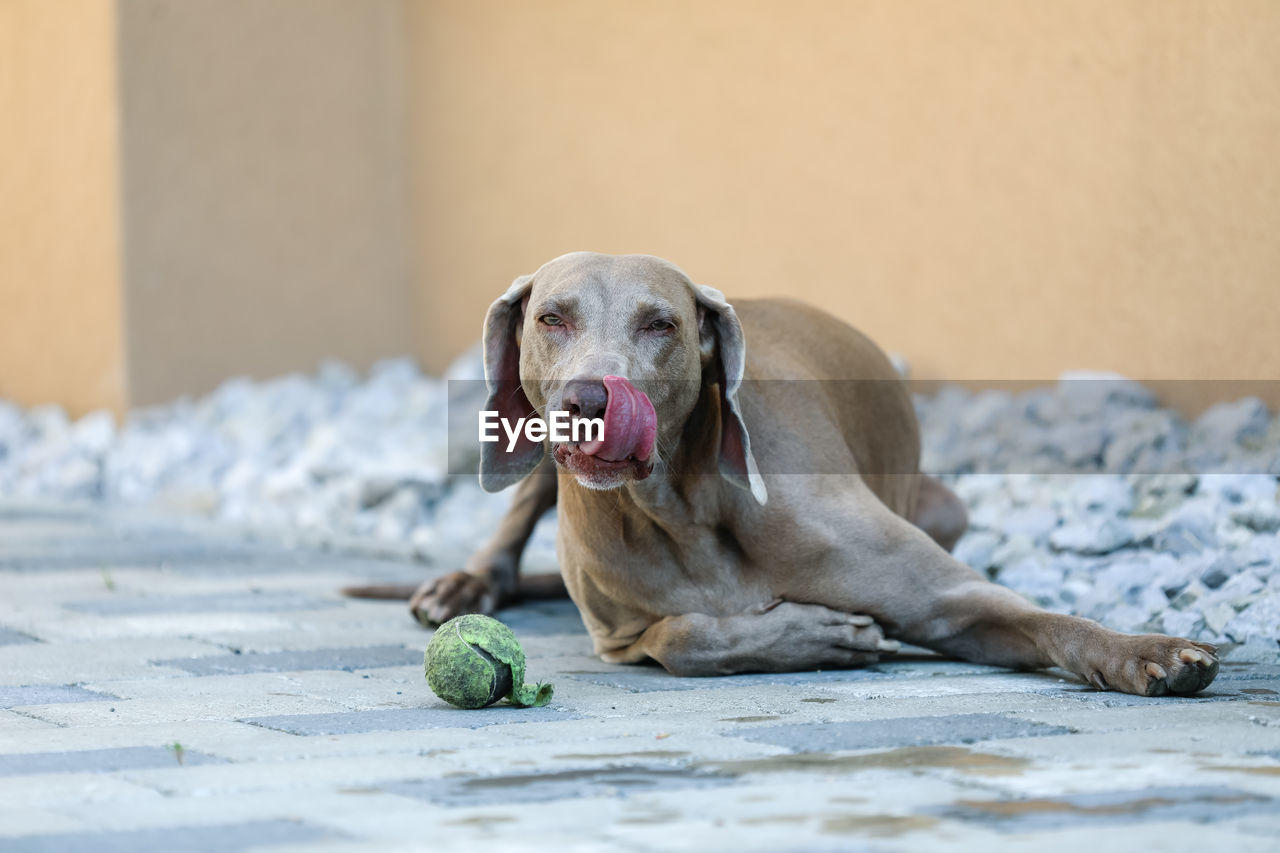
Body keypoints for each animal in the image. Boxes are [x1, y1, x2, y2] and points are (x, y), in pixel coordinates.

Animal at [348, 249, 1218, 696]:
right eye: (551, 318)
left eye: (661, 324)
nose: (589, 400)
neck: (684, 508)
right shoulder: (617, 634)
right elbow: (682, 634)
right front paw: (812, 632)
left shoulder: (951, 603)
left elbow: (1052, 622)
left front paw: (1146, 651)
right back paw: (464, 583)